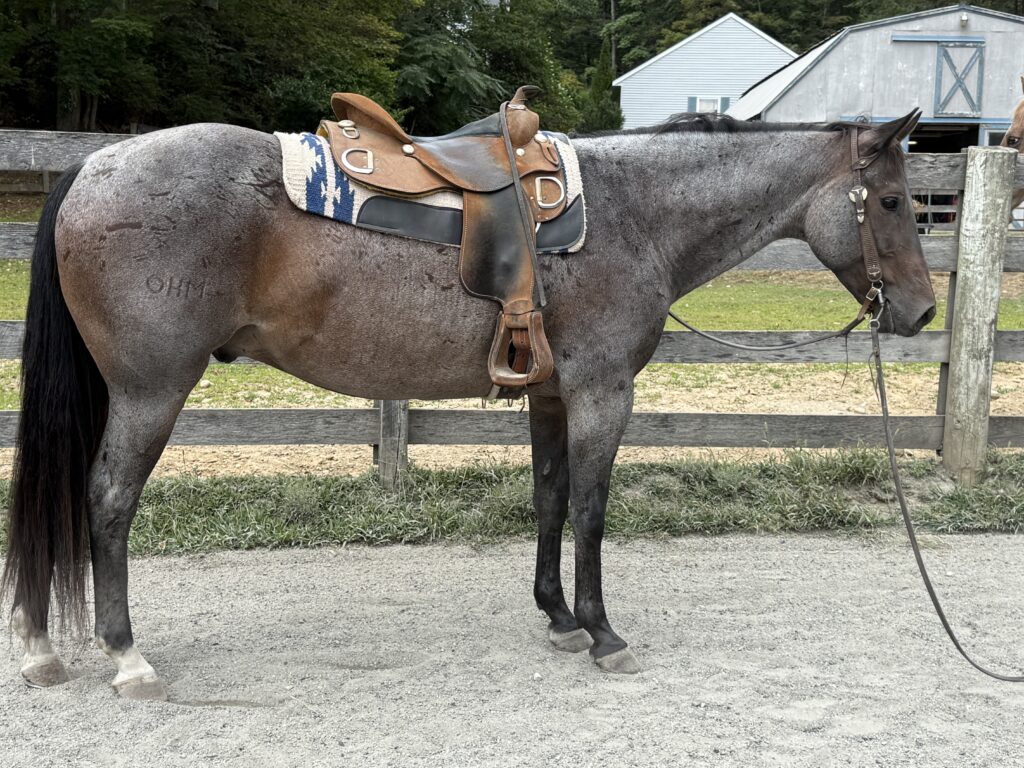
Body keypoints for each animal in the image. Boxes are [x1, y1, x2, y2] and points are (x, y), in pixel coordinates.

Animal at [2, 109, 936, 700]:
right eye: (893, 201)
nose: (923, 312)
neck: (636, 214)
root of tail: (94, 166)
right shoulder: (602, 391)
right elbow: (592, 510)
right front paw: (603, 633)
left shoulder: (552, 396)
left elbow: (551, 502)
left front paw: (558, 618)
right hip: (150, 391)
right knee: (107, 501)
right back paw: (127, 657)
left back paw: (44, 648)